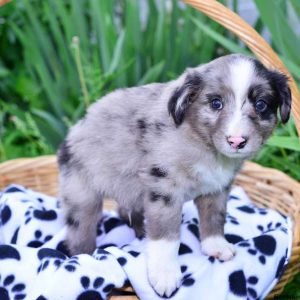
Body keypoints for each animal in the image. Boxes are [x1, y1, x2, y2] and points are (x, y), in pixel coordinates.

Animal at [56, 54, 290, 298]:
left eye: (261, 104)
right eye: (216, 103)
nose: (237, 141)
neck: (202, 144)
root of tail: (72, 133)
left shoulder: (217, 189)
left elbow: (215, 218)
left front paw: (215, 246)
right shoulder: (164, 189)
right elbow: (165, 235)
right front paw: (165, 274)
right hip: (82, 196)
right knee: (80, 230)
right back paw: (81, 257)